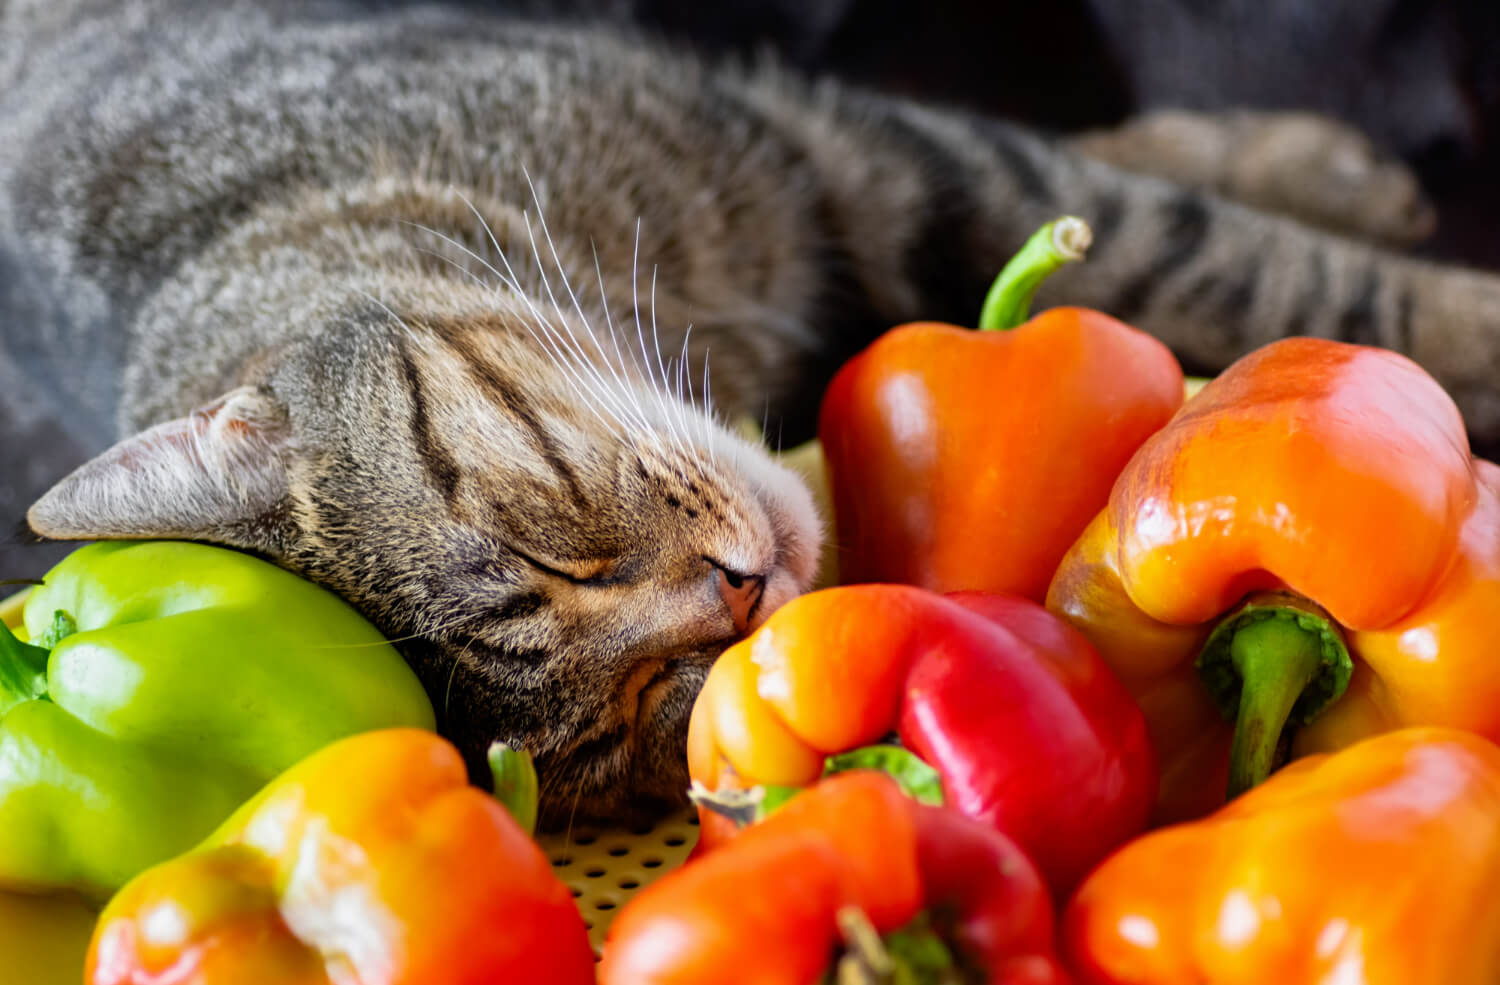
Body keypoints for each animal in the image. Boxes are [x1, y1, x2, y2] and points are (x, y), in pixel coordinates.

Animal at [2, 0, 1500, 827]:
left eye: (552, 545)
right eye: (628, 721)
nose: (737, 597)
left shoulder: (843, 154)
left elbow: (1207, 246)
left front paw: (1433, 285)